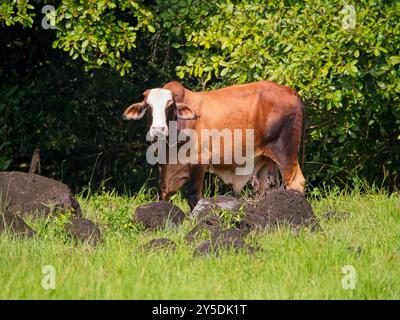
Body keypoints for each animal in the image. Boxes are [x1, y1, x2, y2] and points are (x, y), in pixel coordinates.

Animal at [123, 81, 304, 209]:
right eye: (148, 106)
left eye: (170, 105)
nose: (158, 129)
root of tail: (291, 92)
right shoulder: (165, 170)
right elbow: (163, 195)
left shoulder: (198, 162)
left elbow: (193, 196)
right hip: (267, 161)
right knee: (265, 187)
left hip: (286, 154)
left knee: (296, 183)